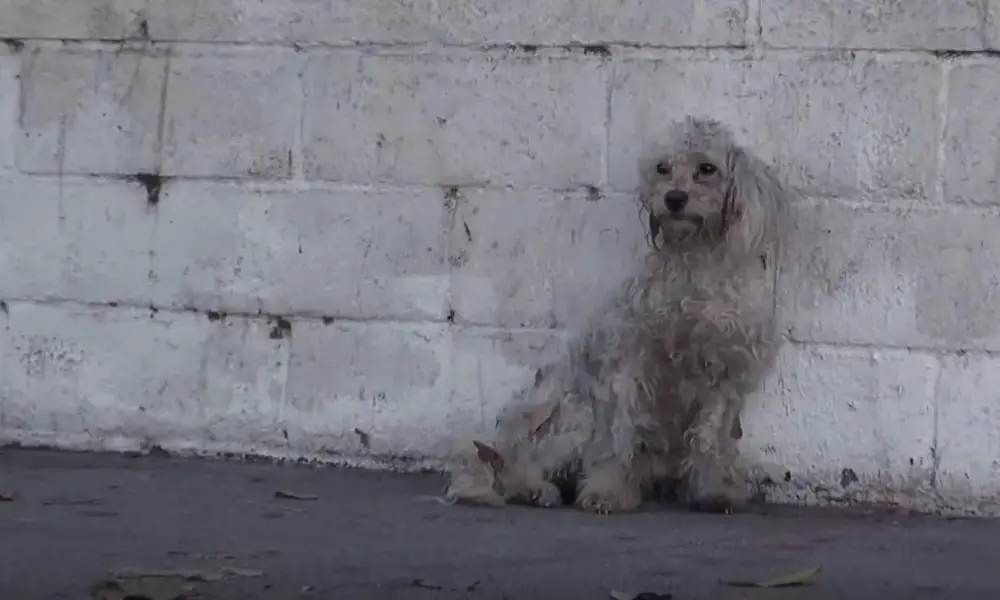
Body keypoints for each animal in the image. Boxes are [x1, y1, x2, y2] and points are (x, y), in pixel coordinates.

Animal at [446, 117, 788, 516]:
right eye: (663, 168)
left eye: (707, 169)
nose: (674, 198)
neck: (695, 267)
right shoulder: (628, 364)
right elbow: (616, 436)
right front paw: (606, 492)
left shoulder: (726, 373)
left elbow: (710, 438)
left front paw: (713, 491)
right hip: (574, 416)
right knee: (517, 467)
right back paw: (534, 489)